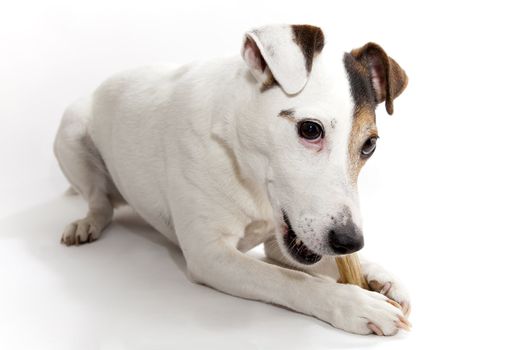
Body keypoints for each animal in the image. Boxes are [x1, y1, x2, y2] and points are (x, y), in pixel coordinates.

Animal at [55, 24, 414, 336]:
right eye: (310, 129)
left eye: (369, 145)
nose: (350, 241)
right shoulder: (209, 255)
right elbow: (288, 279)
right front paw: (355, 303)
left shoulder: (280, 244)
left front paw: (379, 275)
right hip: (70, 132)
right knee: (99, 202)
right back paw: (87, 222)